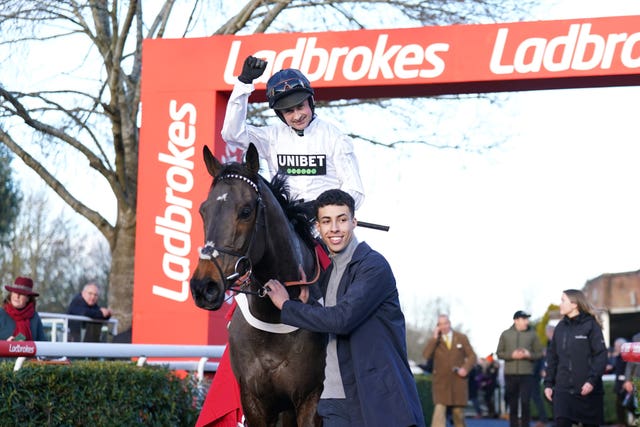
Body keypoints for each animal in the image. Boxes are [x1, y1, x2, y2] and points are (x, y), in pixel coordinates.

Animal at [190, 145, 324, 427]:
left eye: (245, 211)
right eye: (203, 210)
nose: (204, 286)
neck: (273, 318)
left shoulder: (311, 400)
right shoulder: (254, 401)